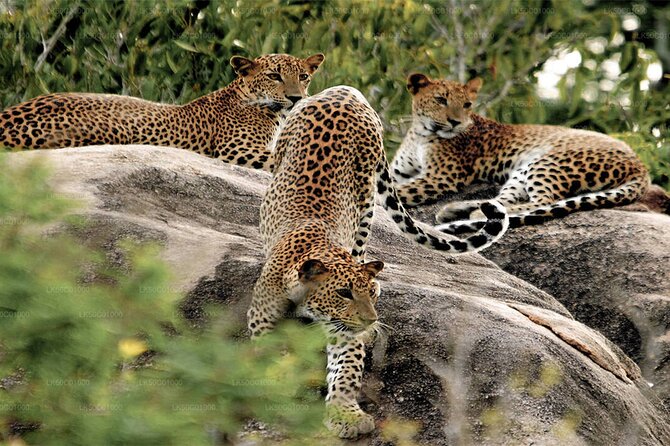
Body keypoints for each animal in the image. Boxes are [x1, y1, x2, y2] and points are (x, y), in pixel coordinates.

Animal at [248, 85, 508, 439]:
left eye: (370, 294)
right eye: (343, 293)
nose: (372, 319)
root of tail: (344, 91)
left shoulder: (344, 330)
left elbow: (345, 369)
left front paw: (346, 415)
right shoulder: (262, 317)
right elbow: (266, 356)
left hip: (366, 199)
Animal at [390, 73, 650, 234]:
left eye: (467, 105)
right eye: (440, 100)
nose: (456, 122)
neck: (420, 132)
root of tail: (641, 165)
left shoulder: (440, 177)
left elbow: (399, 191)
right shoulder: (398, 170)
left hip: (547, 162)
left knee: (542, 201)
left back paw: (471, 214)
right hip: (523, 169)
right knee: (502, 201)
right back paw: (456, 209)